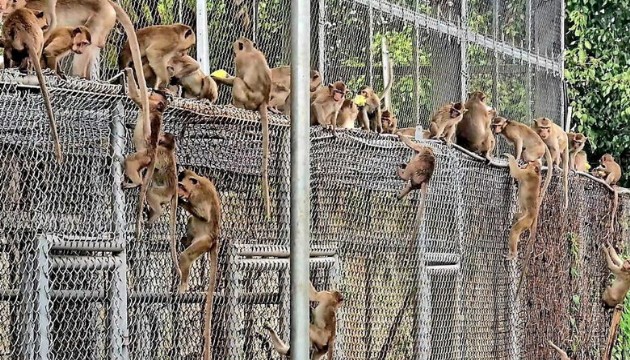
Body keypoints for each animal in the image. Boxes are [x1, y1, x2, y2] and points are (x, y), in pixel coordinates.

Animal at [2, 7, 63, 162]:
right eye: (45, 22)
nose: (46, 26)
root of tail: (25, 35)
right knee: (25, 58)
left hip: (12, 44)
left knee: (10, 54)